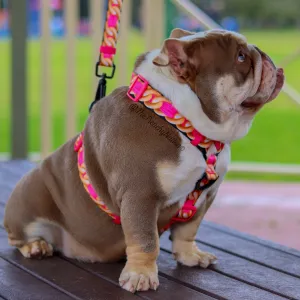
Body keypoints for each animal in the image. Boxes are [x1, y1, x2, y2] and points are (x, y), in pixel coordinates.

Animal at [4, 28, 284, 292]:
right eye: (241, 57)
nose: (263, 53)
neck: (181, 121)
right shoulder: (140, 195)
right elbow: (146, 240)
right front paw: (141, 275)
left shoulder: (204, 197)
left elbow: (188, 229)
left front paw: (190, 255)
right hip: (28, 199)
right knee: (17, 235)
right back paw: (36, 246)